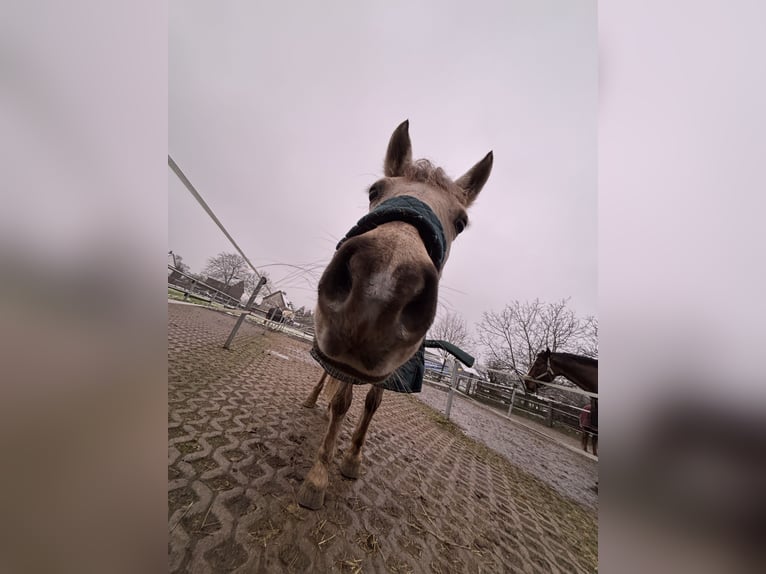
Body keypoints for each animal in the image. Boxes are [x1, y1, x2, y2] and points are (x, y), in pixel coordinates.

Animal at [297, 120, 493, 509]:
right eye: (375, 191)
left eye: (461, 222)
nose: (381, 287)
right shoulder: (345, 363)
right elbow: (342, 401)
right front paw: (319, 475)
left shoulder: (387, 370)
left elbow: (372, 403)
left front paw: (353, 459)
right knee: (325, 379)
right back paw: (313, 401)